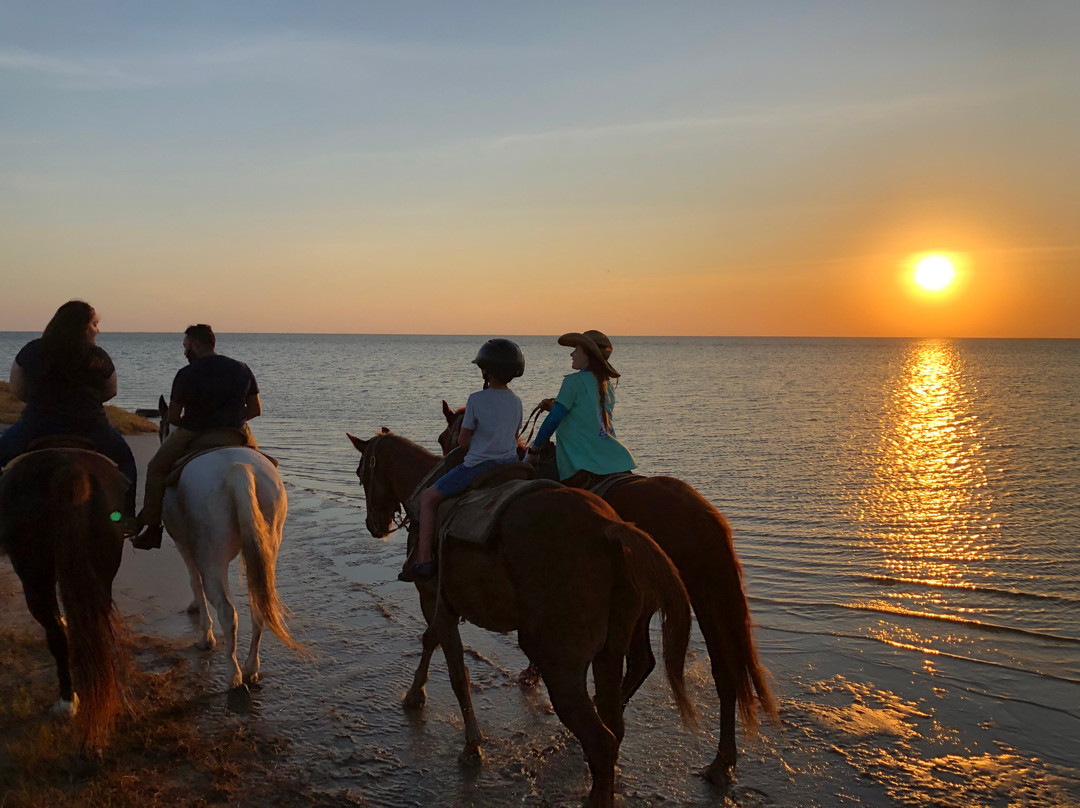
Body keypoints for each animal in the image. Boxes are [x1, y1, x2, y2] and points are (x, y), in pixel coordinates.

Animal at [0, 447, 132, 751]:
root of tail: (68, 469)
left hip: (33, 574)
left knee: (55, 633)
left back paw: (67, 701)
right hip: (100, 568)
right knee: (94, 627)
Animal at [156, 397, 302, 687]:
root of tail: (239, 471)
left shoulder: (184, 546)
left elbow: (195, 582)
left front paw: (205, 635)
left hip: (212, 559)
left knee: (226, 610)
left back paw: (232, 672)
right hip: (268, 547)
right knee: (259, 606)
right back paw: (250, 667)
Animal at [349, 429, 695, 808]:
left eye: (361, 473)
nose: (374, 524)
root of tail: (610, 529)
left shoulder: (433, 599)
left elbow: (456, 671)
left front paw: (471, 742)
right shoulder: (442, 605)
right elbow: (431, 641)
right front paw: (415, 694)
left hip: (561, 666)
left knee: (601, 741)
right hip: (609, 654)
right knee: (614, 726)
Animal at [438, 401, 777, 786]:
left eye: (444, 437)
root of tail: (702, 515)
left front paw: (533, 673)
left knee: (661, 663)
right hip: (701, 597)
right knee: (717, 670)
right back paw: (721, 760)